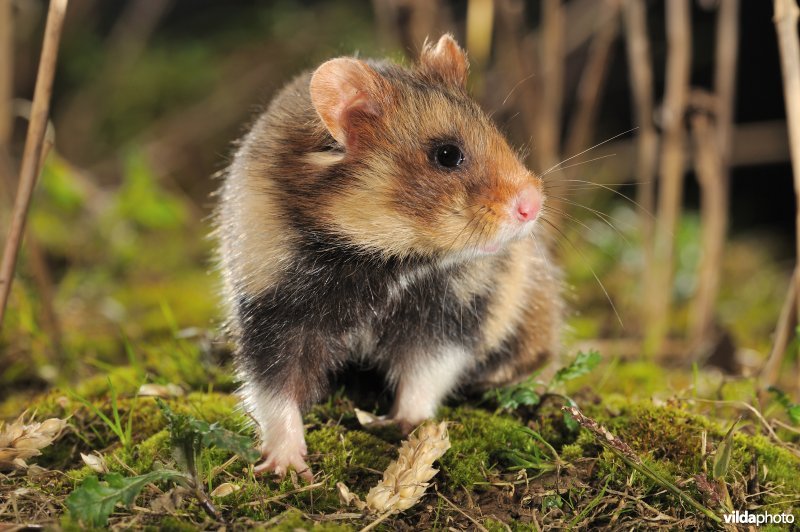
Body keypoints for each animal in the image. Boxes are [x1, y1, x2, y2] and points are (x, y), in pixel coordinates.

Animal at [214, 34, 562, 480]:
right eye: (447, 155)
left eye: (496, 132)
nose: (534, 205)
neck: (384, 261)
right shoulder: (273, 313)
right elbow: (274, 392)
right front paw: (287, 467)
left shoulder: (449, 315)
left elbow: (424, 374)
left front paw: (408, 427)